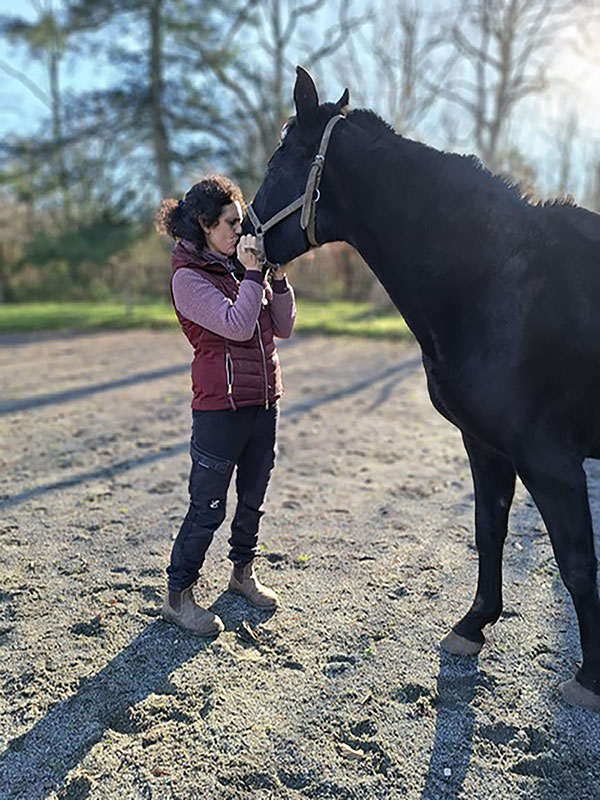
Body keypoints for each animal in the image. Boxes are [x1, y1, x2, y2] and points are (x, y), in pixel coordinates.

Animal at [244, 66, 600, 711]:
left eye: (278, 163)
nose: (243, 243)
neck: (500, 285)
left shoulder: (551, 461)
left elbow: (578, 564)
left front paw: (589, 678)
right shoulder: (486, 446)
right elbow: (489, 532)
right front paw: (473, 625)